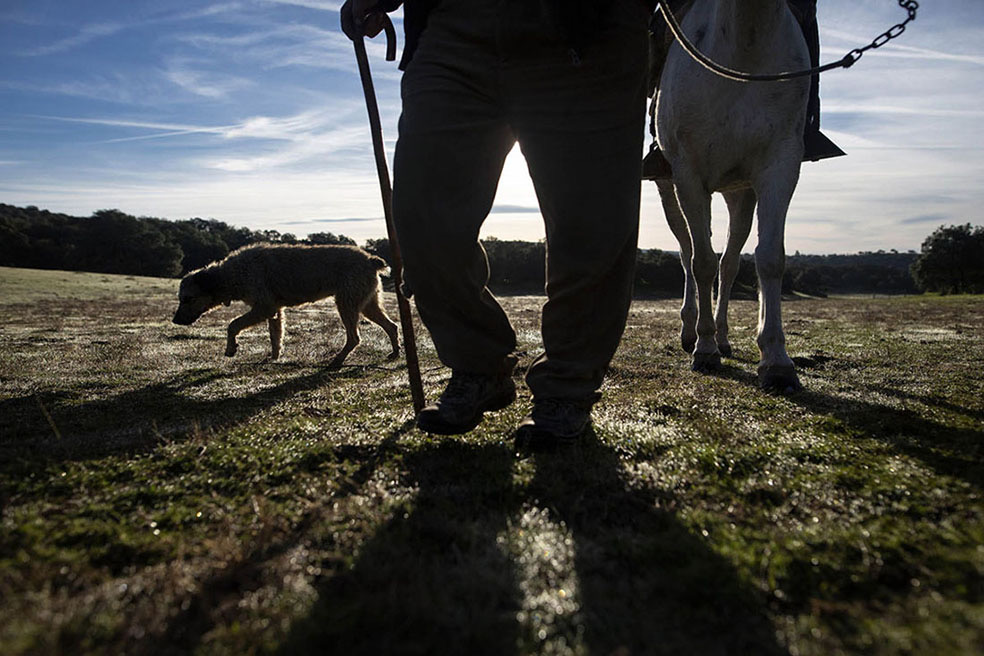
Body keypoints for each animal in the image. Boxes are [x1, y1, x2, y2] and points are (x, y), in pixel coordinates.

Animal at [172, 242, 400, 368]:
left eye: (187, 298)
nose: (174, 320)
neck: (231, 274)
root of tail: (370, 259)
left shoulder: (264, 308)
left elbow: (233, 325)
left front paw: (231, 348)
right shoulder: (275, 311)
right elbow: (275, 336)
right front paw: (274, 357)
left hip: (347, 304)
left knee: (355, 338)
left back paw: (337, 361)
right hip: (368, 305)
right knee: (392, 326)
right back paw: (395, 353)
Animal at [656, 0, 812, 390]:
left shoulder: (780, 164)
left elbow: (769, 258)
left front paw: (776, 360)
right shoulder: (688, 174)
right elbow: (701, 261)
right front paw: (704, 348)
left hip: (739, 194)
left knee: (729, 263)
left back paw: (724, 336)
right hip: (671, 190)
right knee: (688, 254)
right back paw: (692, 331)